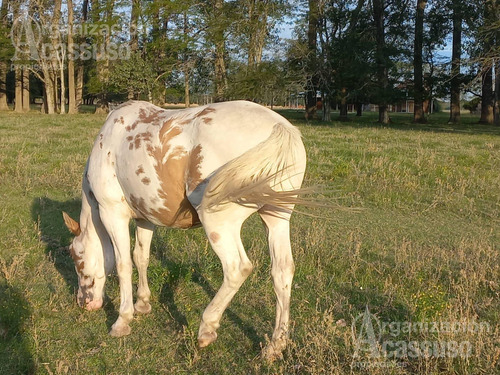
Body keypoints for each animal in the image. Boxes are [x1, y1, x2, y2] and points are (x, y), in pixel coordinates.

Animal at [63, 100, 308, 362]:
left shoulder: (113, 214)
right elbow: (141, 257)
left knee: (237, 269)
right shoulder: (146, 218)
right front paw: (143, 303)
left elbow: (123, 264)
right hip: (276, 218)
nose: (83, 302)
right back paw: (276, 345)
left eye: (76, 257)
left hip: (219, 223)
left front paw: (122, 320)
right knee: (282, 271)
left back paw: (207, 328)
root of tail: (278, 127)